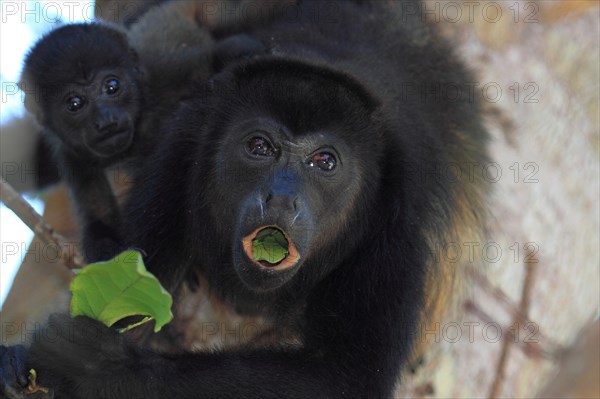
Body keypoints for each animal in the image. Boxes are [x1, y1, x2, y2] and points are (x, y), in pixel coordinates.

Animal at [0, 1, 488, 398]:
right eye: (259, 147)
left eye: (325, 161)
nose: (283, 197)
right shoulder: (184, 145)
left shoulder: (401, 211)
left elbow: (345, 379)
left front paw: (99, 369)